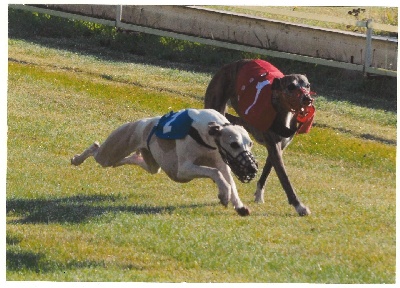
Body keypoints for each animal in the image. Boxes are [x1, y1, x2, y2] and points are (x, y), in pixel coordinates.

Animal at [70, 108, 258, 216]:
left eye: (250, 143)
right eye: (234, 144)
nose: (252, 168)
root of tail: (139, 122)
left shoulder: (222, 162)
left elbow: (229, 181)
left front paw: (239, 206)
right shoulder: (183, 170)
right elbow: (215, 173)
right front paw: (224, 195)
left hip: (151, 163)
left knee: (134, 160)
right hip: (110, 152)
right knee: (96, 149)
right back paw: (77, 159)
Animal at [206, 59, 316, 216]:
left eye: (307, 85)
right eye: (291, 86)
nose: (307, 99)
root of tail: (228, 66)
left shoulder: (277, 147)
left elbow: (267, 172)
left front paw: (258, 195)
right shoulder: (273, 146)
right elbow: (285, 178)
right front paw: (299, 205)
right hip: (217, 104)